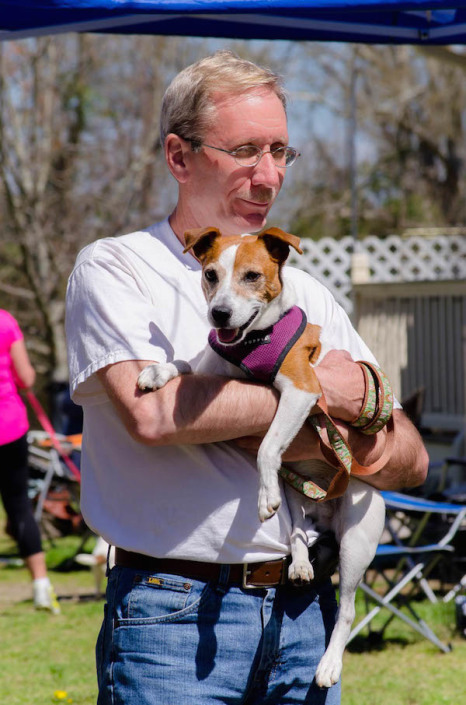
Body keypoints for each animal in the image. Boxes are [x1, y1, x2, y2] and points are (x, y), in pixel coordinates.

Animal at [138, 227, 386, 688]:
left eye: (252, 276)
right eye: (210, 274)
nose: (219, 315)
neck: (253, 343)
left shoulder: (303, 390)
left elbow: (269, 445)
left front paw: (261, 493)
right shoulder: (211, 368)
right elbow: (184, 362)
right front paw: (156, 371)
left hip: (357, 541)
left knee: (346, 610)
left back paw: (328, 665)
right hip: (297, 499)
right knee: (296, 532)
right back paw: (301, 563)